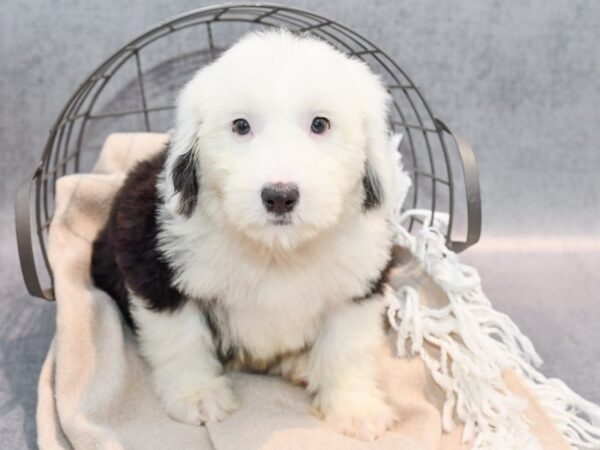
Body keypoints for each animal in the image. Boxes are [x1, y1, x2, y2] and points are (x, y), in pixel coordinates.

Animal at [91, 29, 400, 442]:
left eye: (320, 124)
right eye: (240, 126)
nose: (280, 196)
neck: (276, 250)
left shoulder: (361, 279)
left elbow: (347, 346)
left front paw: (355, 408)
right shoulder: (150, 256)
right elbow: (180, 335)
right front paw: (198, 395)